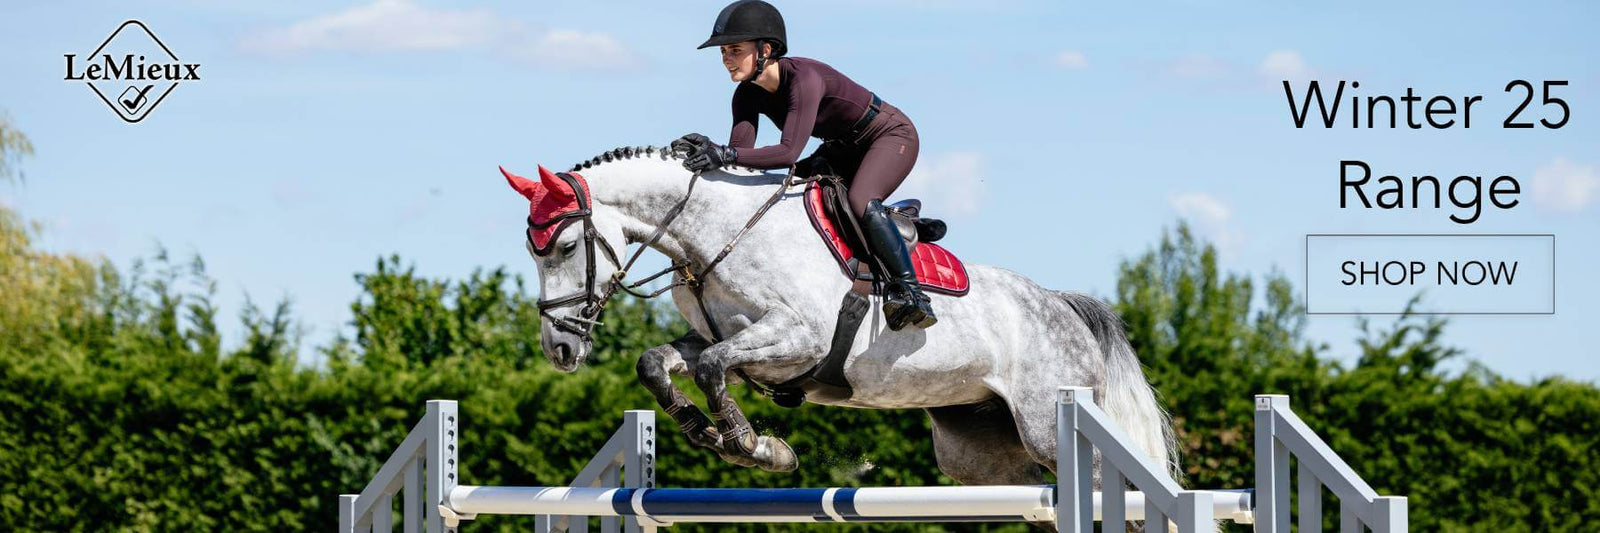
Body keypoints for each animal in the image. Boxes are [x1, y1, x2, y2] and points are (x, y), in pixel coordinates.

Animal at [500, 145, 1177, 491]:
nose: (560, 349)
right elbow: (659, 363)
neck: (717, 233)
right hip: (980, 453)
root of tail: (1064, 304)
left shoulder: (796, 341)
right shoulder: (722, 341)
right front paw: (704, 431)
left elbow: (716, 366)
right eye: (532, 253)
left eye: (564, 247)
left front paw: (755, 447)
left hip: (1048, 423)